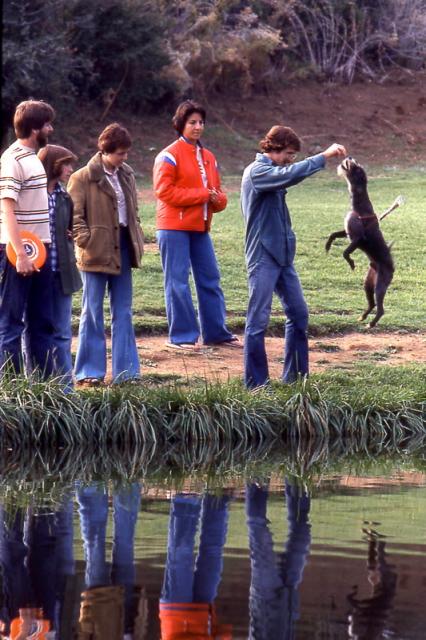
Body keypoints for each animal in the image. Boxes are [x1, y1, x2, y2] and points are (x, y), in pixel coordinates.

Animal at [326, 158, 396, 330]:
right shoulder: (348, 232)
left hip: (380, 285)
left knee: (381, 309)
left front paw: (351, 263)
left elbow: (345, 252)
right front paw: (328, 246)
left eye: (357, 168)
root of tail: (392, 267)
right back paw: (363, 317)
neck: (359, 206)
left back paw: (371, 323)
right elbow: (333, 235)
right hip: (368, 284)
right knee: (372, 304)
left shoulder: (358, 239)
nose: (350, 157)